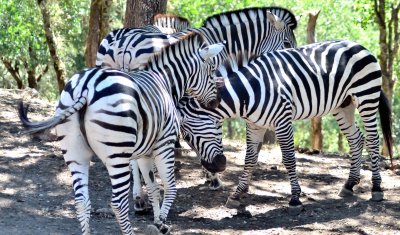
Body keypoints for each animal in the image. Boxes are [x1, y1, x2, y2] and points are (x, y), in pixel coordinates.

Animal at [18, 32, 225, 235]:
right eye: (211, 71)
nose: (216, 103)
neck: (165, 82)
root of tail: (87, 86)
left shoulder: (144, 152)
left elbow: (153, 188)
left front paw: (157, 220)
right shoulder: (164, 145)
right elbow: (170, 187)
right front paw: (162, 223)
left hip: (75, 153)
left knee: (81, 201)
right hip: (117, 155)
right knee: (118, 203)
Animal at [178, 39, 394, 212]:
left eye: (187, 135)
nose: (216, 166)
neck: (249, 92)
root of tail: (359, 45)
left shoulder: (283, 120)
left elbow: (289, 159)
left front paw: (295, 199)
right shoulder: (254, 125)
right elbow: (249, 159)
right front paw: (237, 194)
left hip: (366, 96)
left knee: (373, 140)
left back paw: (376, 188)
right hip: (343, 105)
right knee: (356, 139)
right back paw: (349, 184)